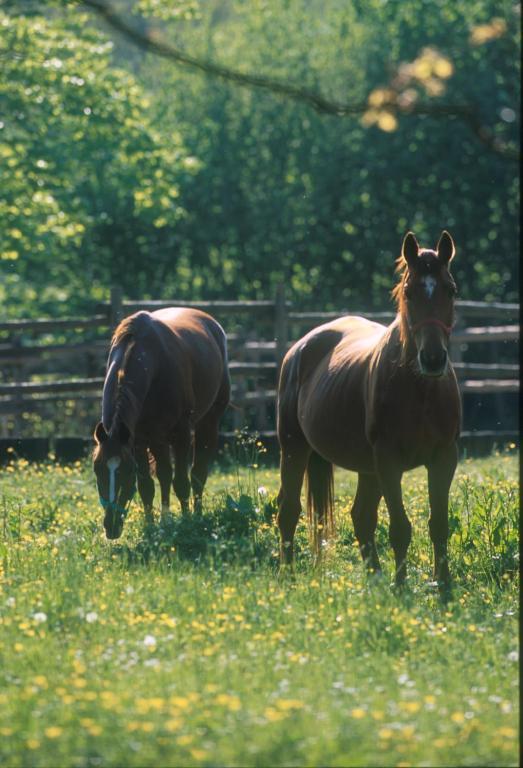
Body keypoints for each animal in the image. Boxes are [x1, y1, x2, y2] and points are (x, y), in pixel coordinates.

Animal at [92, 308, 231, 540]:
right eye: (97, 470)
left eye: (127, 471)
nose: (111, 527)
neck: (152, 361)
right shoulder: (138, 440)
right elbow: (147, 485)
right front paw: (151, 527)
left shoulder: (181, 433)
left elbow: (181, 482)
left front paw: (187, 523)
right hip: (158, 439)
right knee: (165, 475)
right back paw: (166, 521)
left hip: (207, 423)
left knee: (198, 474)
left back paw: (197, 515)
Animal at [276, 231, 460, 592]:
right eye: (409, 291)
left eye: (450, 289)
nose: (433, 359)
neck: (420, 391)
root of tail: (300, 347)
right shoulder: (388, 461)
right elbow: (400, 528)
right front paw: (400, 587)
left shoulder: (444, 458)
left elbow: (439, 524)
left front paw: (443, 586)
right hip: (294, 449)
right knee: (288, 510)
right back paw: (288, 576)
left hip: (366, 467)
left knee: (361, 517)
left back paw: (373, 578)